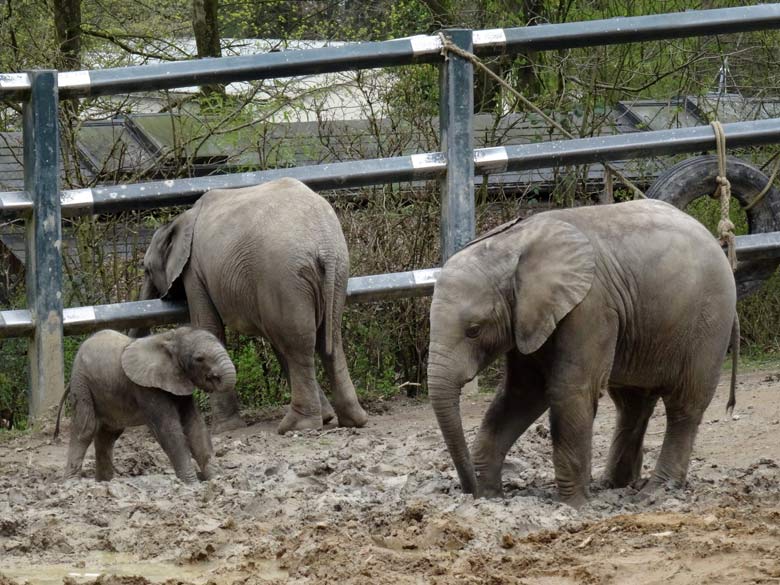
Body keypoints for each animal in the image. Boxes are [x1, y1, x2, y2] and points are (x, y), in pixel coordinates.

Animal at [56, 326, 236, 482]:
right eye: (199, 359)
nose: (215, 378)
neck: (170, 338)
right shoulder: (145, 387)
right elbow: (168, 429)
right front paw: (191, 483)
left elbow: (195, 426)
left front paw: (216, 479)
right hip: (81, 382)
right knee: (86, 428)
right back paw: (72, 482)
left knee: (108, 435)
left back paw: (105, 482)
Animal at [136, 178, 368, 434]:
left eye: (147, 270)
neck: (179, 220)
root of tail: (324, 244)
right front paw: (327, 417)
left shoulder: (194, 271)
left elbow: (209, 327)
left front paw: (225, 429)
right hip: (335, 272)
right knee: (327, 339)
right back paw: (352, 420)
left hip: (282, 276)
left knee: (297, 343)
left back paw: (296, 426)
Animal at [430, 197, 740, 506]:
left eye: (474, 330)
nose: (469, 491)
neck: (511, 244)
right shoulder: (529, 316)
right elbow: (522, 393)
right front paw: (491, 496)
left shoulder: (591, 307)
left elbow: (569, 390)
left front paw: (574, 505)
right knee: (632, 403)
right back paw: (614, 485)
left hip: (709, 322)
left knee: (684, 405)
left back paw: (655, 492)